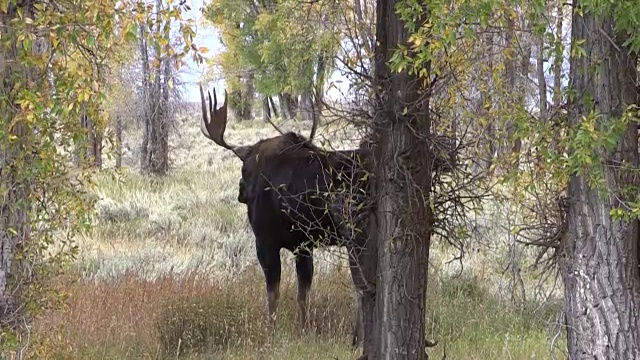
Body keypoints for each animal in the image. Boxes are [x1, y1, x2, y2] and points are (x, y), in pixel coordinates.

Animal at [198, 85, 372, 346]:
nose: (241, 193)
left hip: (355, 232)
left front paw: (272, 332)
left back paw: (357, 340)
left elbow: (273, 293)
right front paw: (304, 330)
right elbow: (303, 294)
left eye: (243, 170)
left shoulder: (266, 241)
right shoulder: (304, 245)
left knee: (362, 285)